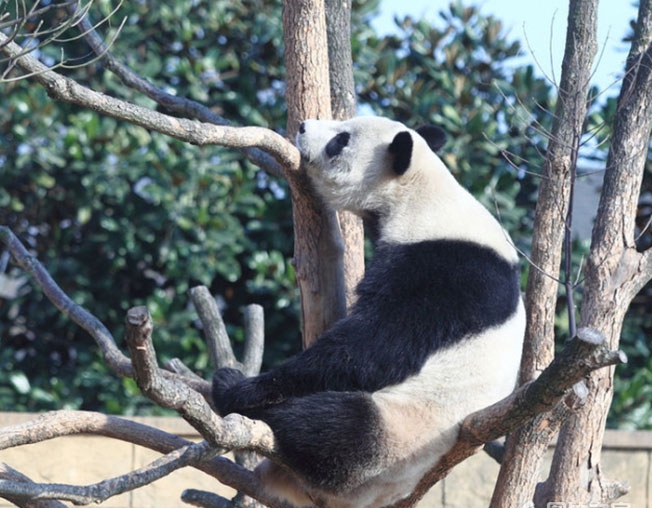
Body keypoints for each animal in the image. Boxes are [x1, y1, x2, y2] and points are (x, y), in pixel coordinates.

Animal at [211, 117, 528, 508]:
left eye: (340, 140)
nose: (303, 126)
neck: (422, 194)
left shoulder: (445, 271)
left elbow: (371, 351)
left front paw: (244, 387)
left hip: (399, 437)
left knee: (335, 428)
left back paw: (248, 400)